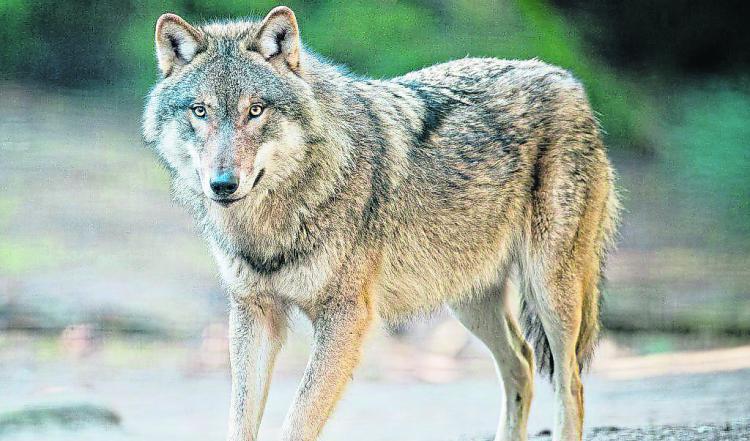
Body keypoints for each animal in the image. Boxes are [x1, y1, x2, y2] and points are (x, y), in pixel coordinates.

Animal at [142, 6, 619, 441]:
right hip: (467, 298)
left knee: (571, 384)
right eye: (200, 111)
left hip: (550, 292)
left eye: (255, 110)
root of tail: (567, 79)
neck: (273, 221)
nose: (223, 184)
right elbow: (240, 420)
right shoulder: (254, 313)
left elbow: (298, 422)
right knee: (521, 363)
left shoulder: (345, 319)